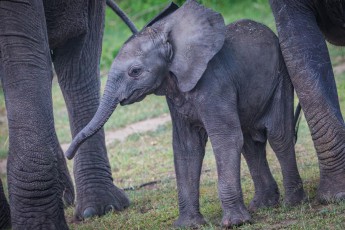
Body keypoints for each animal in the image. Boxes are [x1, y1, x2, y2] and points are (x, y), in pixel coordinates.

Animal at [64, 0, 304, 226]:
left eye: (135, 71)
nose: (68, 154)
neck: (168, 36)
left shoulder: (215, 84)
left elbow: (226, 140)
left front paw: (235, 223)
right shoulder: (176, 94)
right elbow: (187, 147)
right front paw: (189, 225)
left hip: (281, 76)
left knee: (278, 136)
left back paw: (292, 203)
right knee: (250, 145)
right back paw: (263, 205)